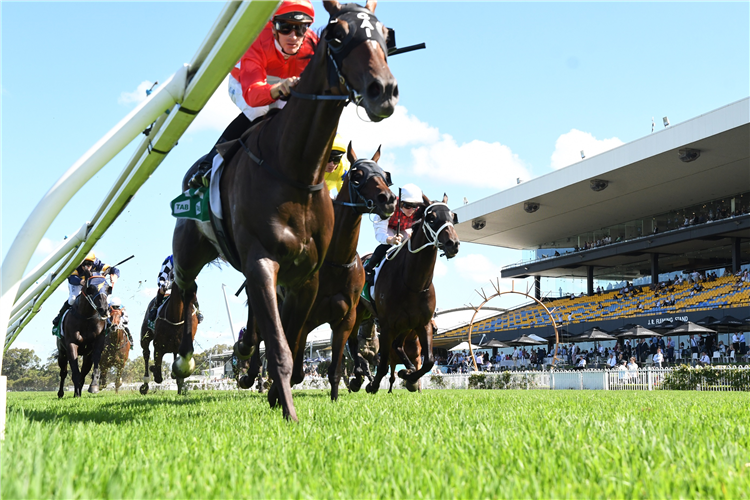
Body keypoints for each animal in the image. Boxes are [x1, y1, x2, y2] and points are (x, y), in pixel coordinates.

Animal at [238, 143, 396, 400]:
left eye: (385, 175)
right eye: (357, 175)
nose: (388, 200)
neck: (336, 263)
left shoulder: (345, 319)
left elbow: (334, 368)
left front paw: (337, 395)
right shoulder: (305, 316)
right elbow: (295, 364)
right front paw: (275, 390)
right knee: (260, 332)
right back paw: (250, 374)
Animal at [352, 195, 458, 394]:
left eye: (453, 216)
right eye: (431, 217)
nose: (453, 243)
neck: (413, 284)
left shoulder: (422, 323)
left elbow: (429, 361)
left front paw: (409, 377)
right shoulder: (386, 326)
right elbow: (383, 364)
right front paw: (373, 384)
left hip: (404, 325)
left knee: (397, 345)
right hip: (358, 312)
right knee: (352, 341)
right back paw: (358, 373)